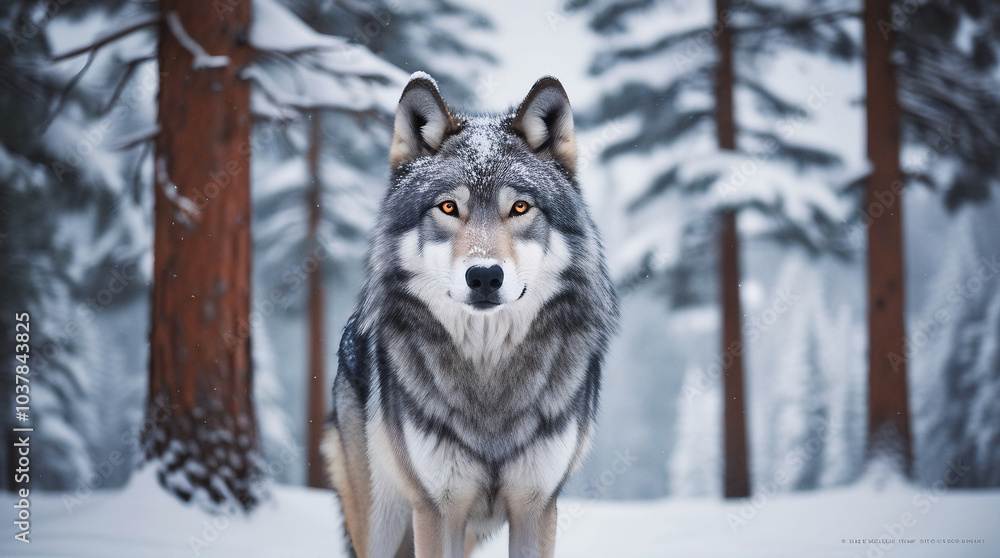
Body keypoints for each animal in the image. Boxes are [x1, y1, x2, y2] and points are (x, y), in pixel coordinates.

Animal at [322, 73, 619, 558]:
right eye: (448, 207)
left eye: (520, 207)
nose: (483, 276)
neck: (487, 369)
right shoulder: (436, 509)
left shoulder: (537, 507)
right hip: (383, 520)